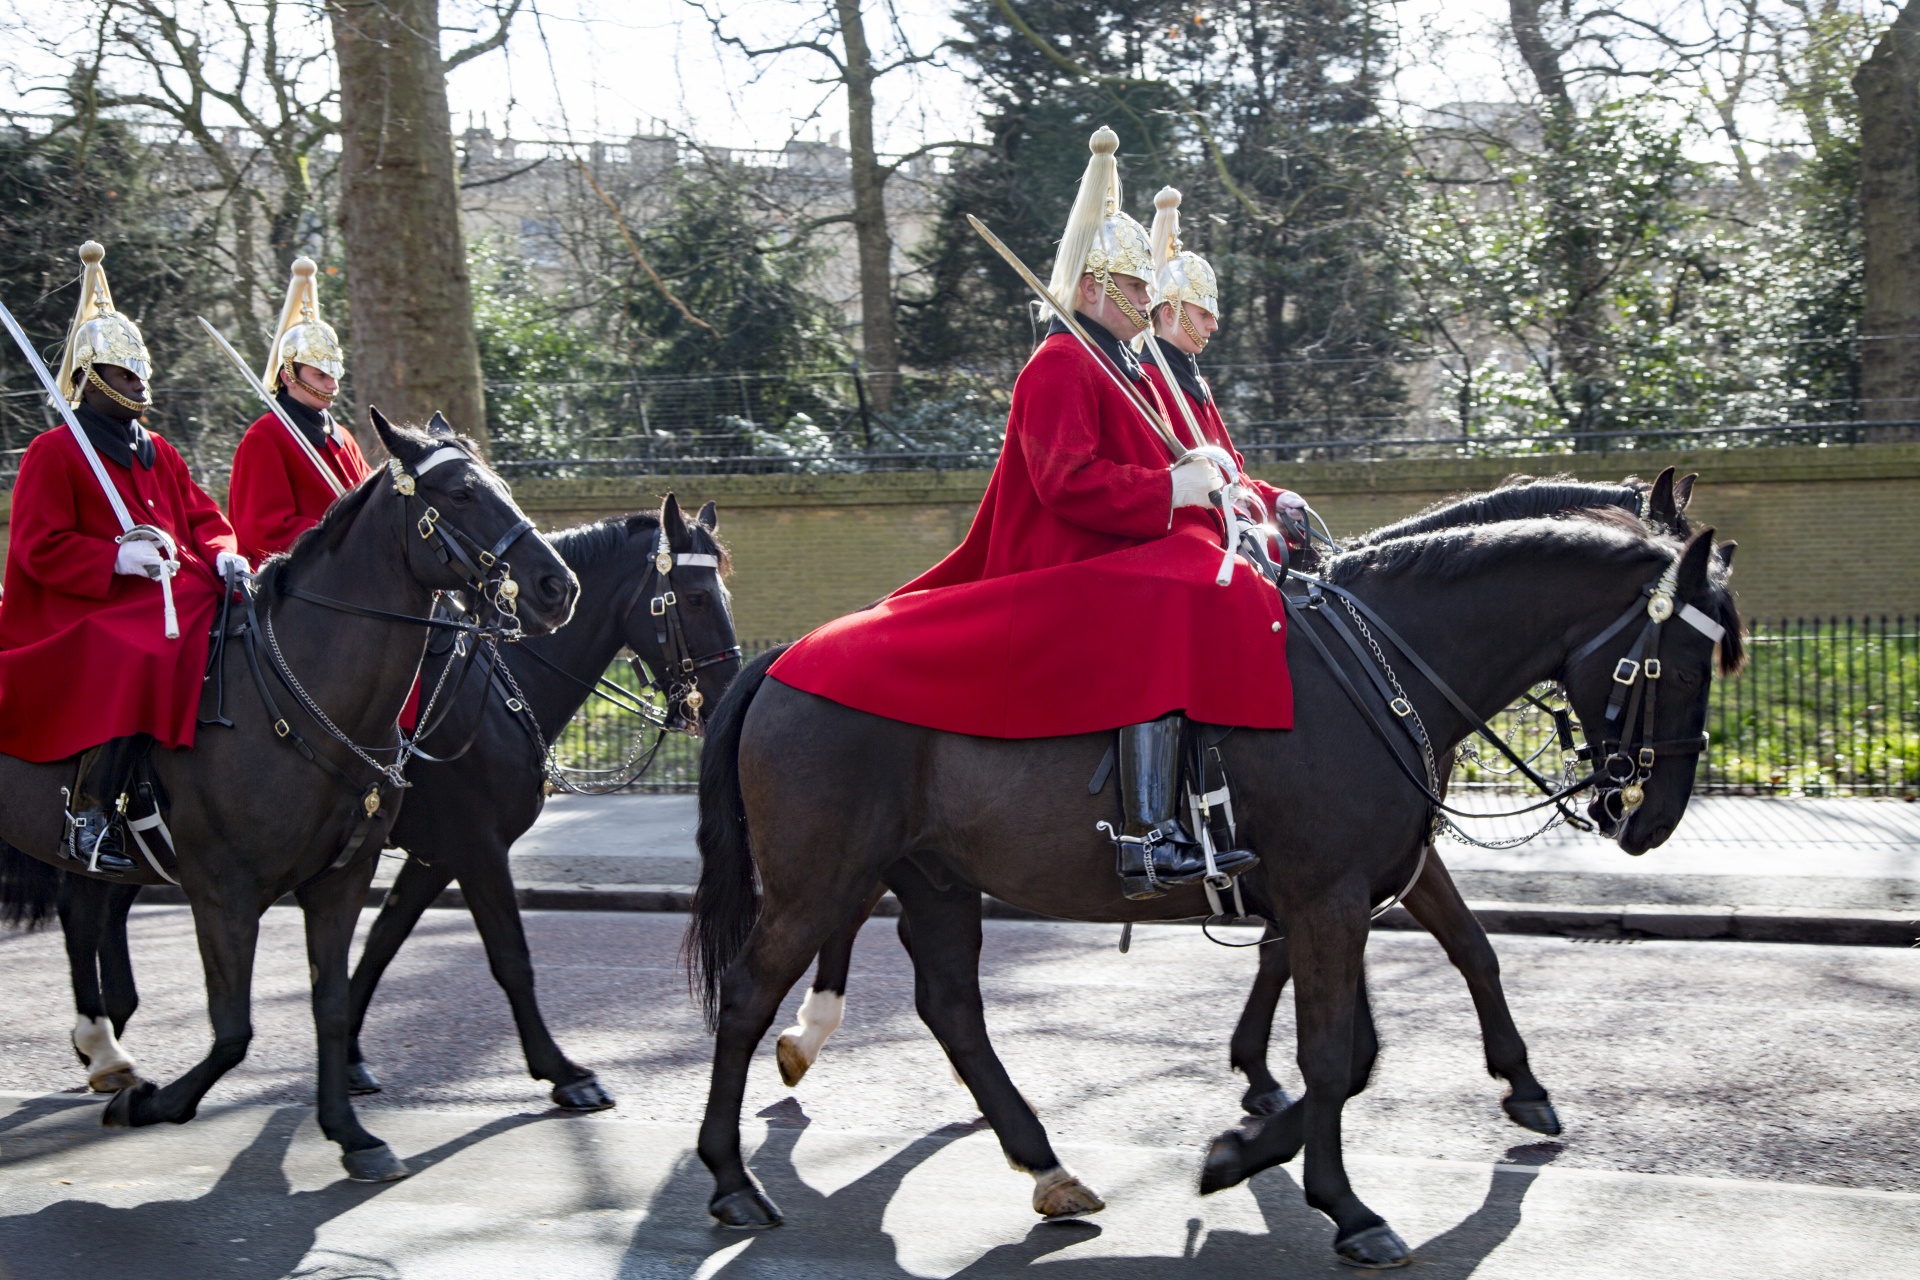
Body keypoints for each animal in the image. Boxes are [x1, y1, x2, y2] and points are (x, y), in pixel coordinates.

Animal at [0, 416, 576, 1189]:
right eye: (459, 492)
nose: (557, 586)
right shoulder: (226, 892)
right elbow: (234, 1031)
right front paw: (154, 1105)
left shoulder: (344, 879)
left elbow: (331, 1001)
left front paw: (351, 1131)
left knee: (86, 908)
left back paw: (106, 1048)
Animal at [687, 506, 1743, 1266]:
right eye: (1680, 663)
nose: (1649, 819)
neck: (1374, 670)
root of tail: (784, 658)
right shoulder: (1327, 899)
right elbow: (1332, 1055)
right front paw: (1343, 1203)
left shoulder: (1359, 889)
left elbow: (1397, 1015)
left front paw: (1249, 1151)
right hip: (819, 881)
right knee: (746, 996)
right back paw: (731, 1177)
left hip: (935, 880)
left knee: (950, 1006)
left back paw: (1046, 1165)